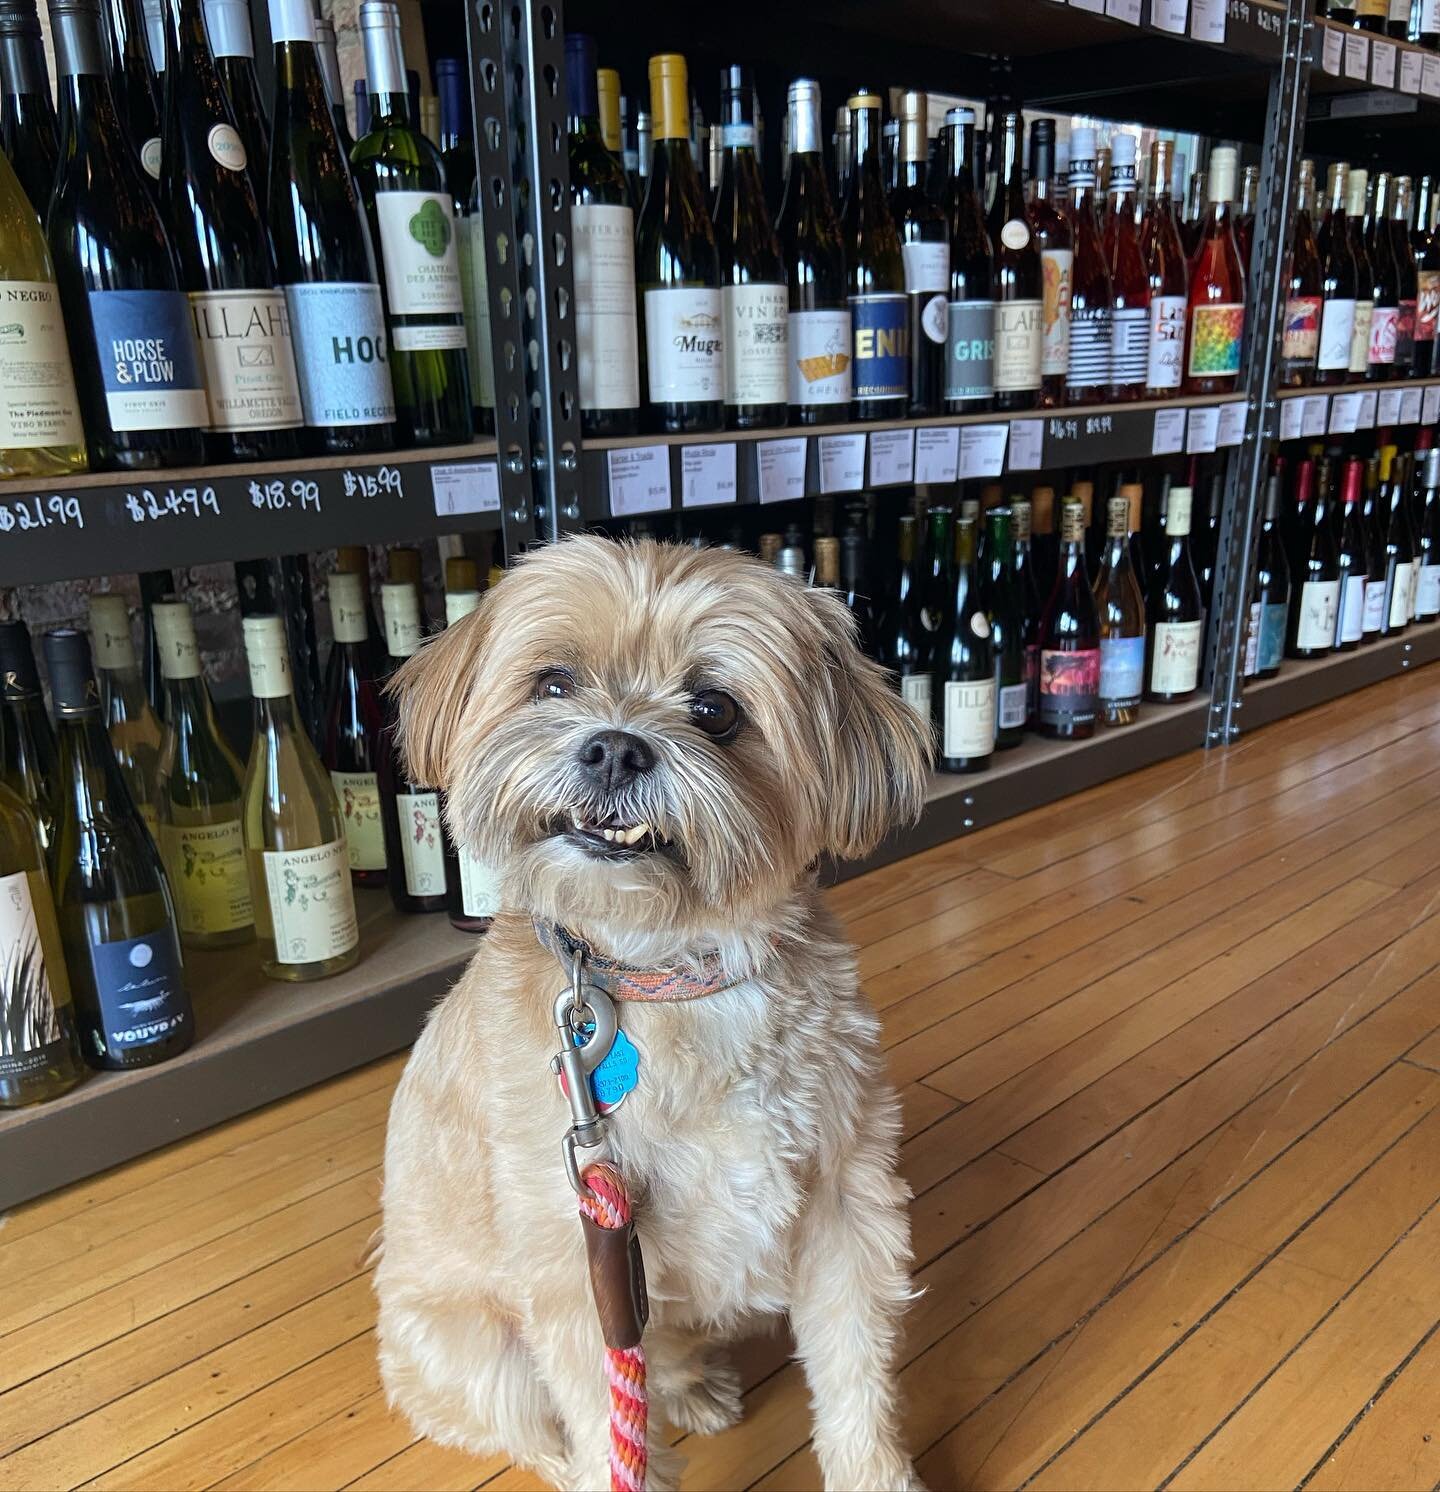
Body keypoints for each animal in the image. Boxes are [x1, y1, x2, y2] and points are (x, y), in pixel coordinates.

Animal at [376, 537, 925, 1492]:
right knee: (540, 1430)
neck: (671, 974)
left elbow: (857, 1376)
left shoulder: (843, 1207)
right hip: (483, 1348)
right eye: (554, 684)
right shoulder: (574, 1264)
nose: (613, 750)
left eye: (715, 709)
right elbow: (603, 1427)